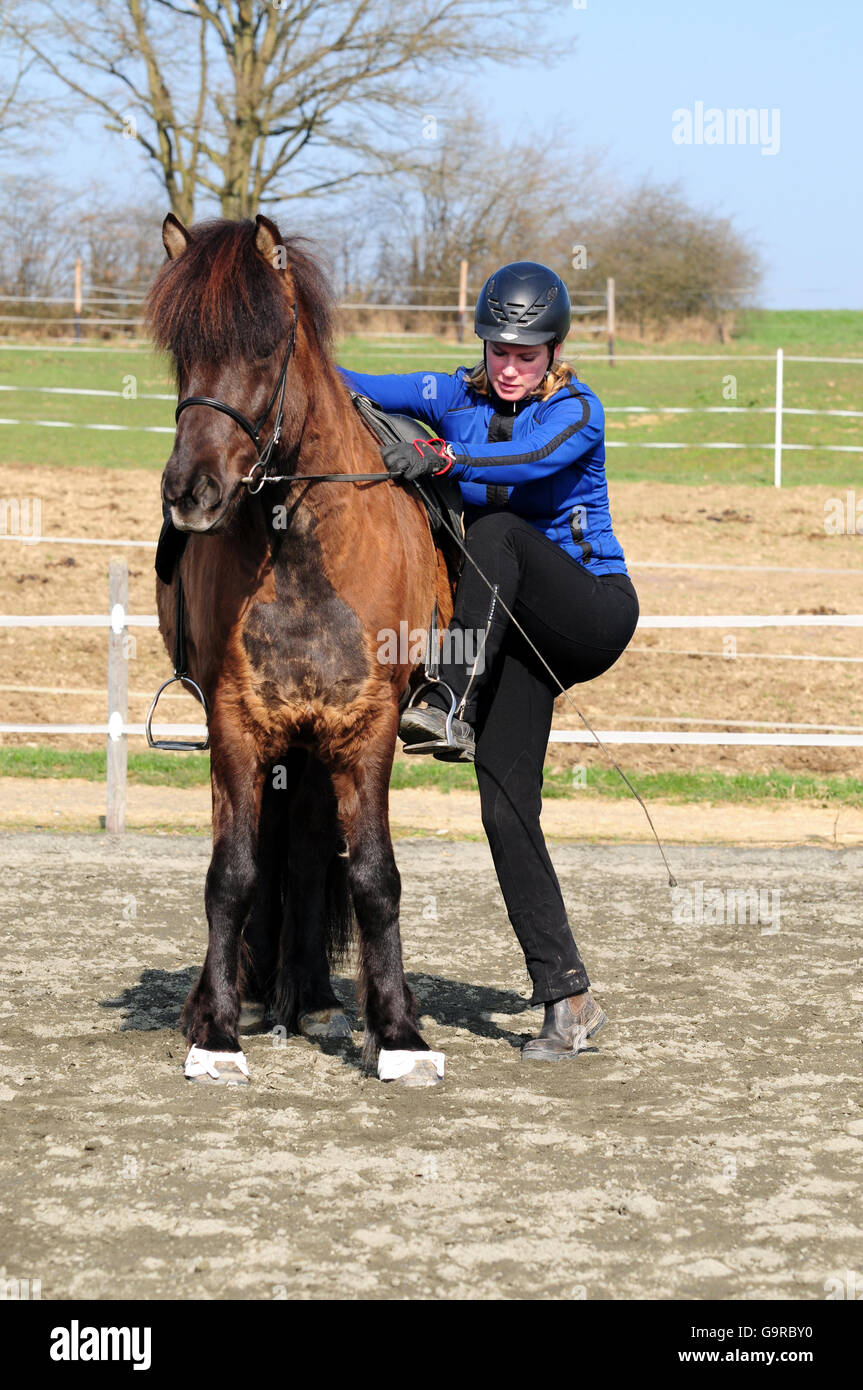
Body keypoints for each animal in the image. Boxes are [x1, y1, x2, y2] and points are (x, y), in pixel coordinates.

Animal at [144, 211, 453, 1089]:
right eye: (180, 349)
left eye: (264, 346)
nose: (190, 492)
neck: (302, 555)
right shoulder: (237, 724)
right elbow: (232, 872)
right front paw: (215, 1032)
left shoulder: (366, 726)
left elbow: (373, 875)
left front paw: (401, 1033)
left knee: (315, 851)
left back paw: (311, 996)